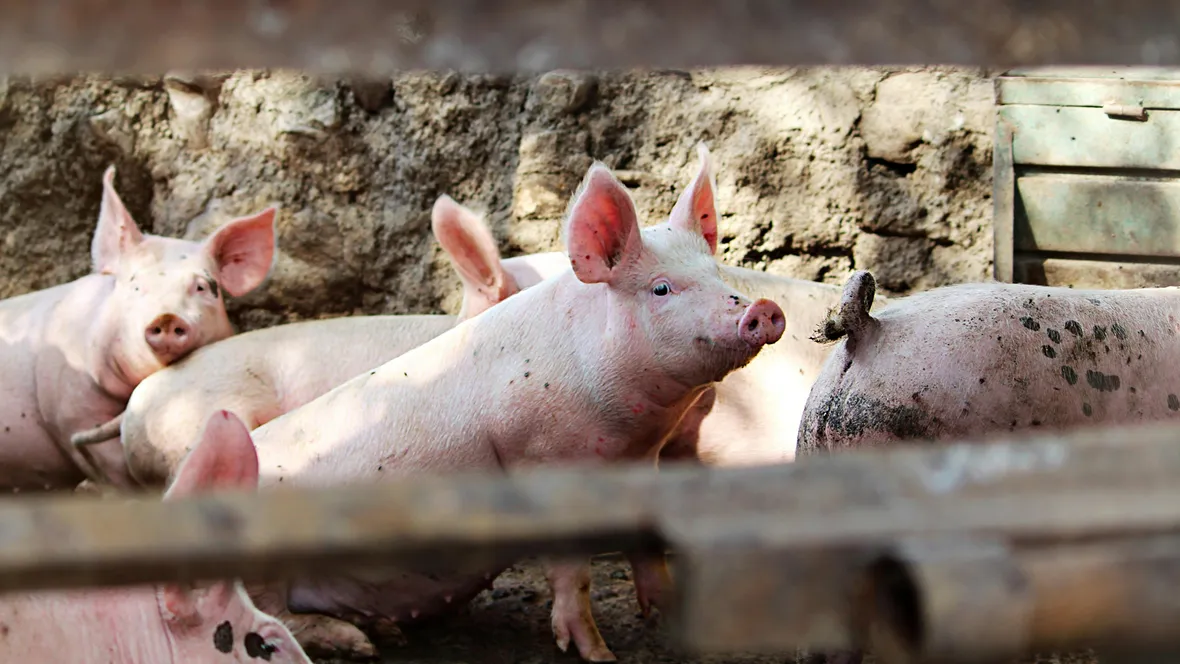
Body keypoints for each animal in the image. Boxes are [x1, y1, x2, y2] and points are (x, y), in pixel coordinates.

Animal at [234, 154, 784, 661]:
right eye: (662, 288)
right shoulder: (545, 460)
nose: (762, 309)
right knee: (270, 616)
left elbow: (647, 542)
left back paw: (383, 633)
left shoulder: (640, 462)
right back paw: (360, 643)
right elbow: (572, 574)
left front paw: (667, 616)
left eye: (717, 274)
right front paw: (598, 654)